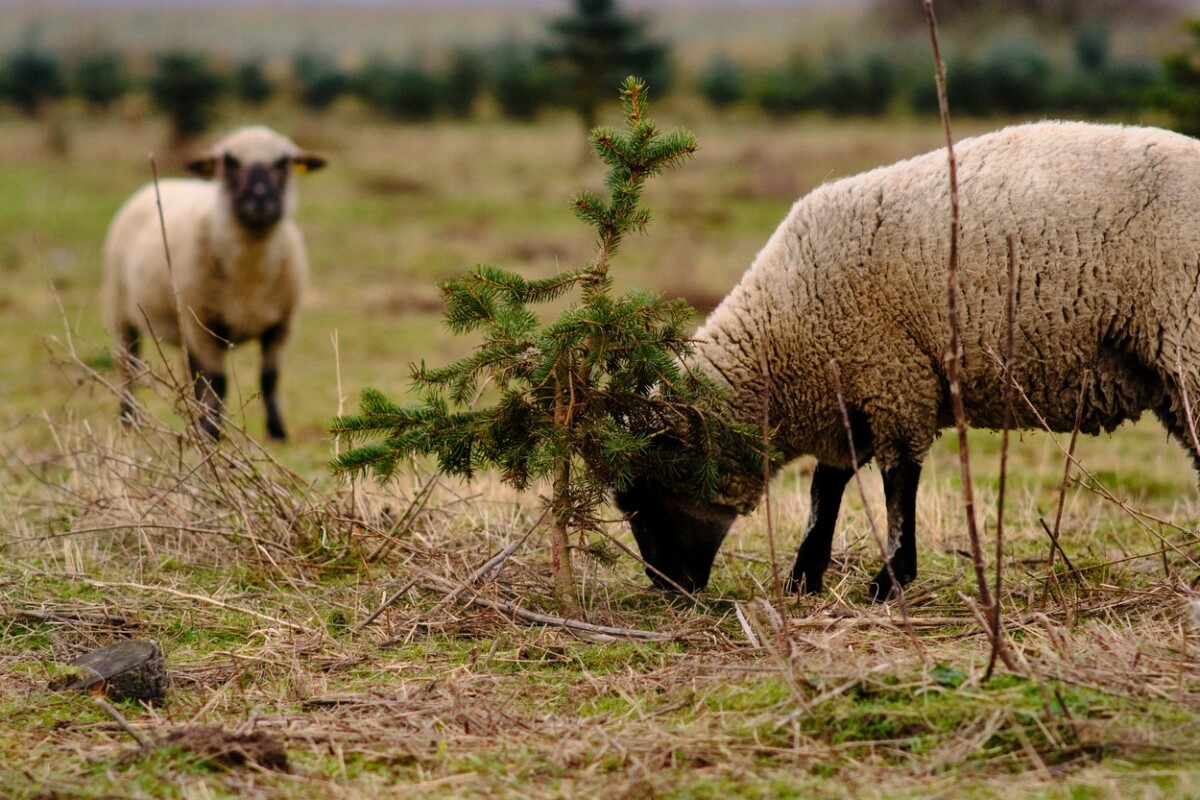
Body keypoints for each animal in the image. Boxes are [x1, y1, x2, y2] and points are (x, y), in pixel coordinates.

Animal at [103, 125, 326, 441]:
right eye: (230, 161)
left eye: (283, 162)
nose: (260, 199)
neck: (250, 278)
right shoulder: (203, 324)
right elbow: (218, 382)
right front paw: (212, 431)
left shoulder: (282, 324)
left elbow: (269, 377)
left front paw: (277, 432)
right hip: (123, 309)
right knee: (128, 366)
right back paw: (128, 420)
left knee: (191, 373)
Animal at [614, 120, 1200, 599]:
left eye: (646, 497)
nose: (667, 587)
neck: (780, 337)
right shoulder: (848, 388)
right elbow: (826, 488)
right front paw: (805, 576)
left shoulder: (894, 374)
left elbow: (898, 483)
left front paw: (890, 579)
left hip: (1187, 341)